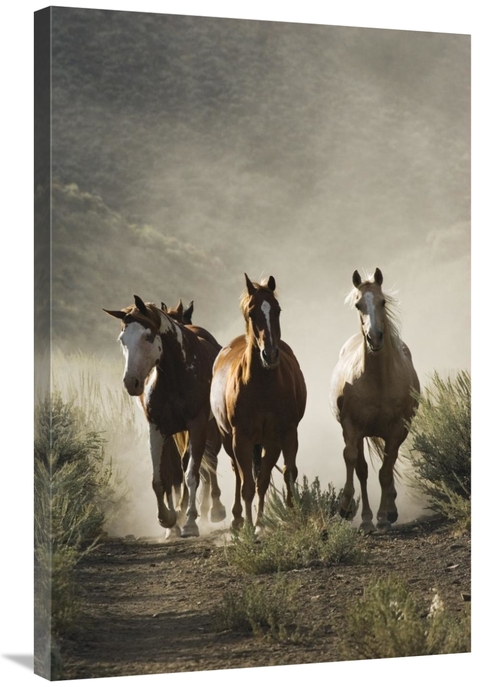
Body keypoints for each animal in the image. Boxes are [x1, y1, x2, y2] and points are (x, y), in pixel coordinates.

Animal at [104, 295, 226, 537]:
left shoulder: (197, 426)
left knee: (206, 465)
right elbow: (162, 478)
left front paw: (190, 522)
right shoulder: (158, 429)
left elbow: (191, 474)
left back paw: (214, 509)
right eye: (122, 340)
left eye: (148, 336)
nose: (131, 382)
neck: (175, 375)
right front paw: (168, 519)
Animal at [210, 274, 307, 531]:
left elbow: (265, 479)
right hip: (228, 439)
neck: (262, 386)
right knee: (237, 473)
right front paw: (248, 527)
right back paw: (237, 519)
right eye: (251, 313)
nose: (270, 354)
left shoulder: (278, 436)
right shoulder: (241, 438)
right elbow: (247, 485)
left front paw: (262, 524)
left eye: (277, 309)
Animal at [329, 268, 420, 533]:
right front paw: (347, 508)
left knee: (389, 464)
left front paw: (383, 517)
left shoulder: (396, 430)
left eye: (383, 302)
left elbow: (386, 472)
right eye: (358, 304)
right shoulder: (351, 428)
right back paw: (367, 518)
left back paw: (389, 510)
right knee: (363, 469)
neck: (377, 380)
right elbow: (354, 462)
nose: (375, 338)